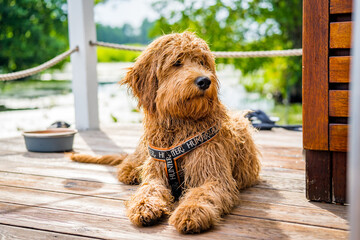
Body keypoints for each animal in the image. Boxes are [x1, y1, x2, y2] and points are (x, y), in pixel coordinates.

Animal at [71, 31, 260, 233]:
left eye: (202, 62)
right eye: (177, 62)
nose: (204, 81)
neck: (179, 125)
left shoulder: (213, 175)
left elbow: (201, 193)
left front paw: (190, 212)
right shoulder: (156, 169)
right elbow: (149, 187)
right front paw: (144, 205)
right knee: (129, 162)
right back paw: (130, 171)